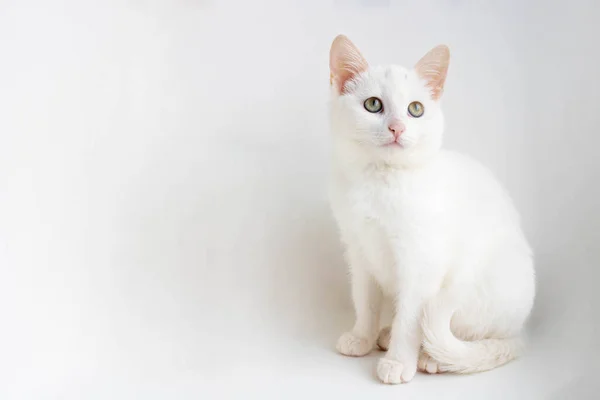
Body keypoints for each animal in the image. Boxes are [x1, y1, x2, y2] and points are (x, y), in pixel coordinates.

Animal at [330, 36, 536, 386]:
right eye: (373, 105)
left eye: (416, 109)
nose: (397, 128)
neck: (380, 181)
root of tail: (520, 333)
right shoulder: (358, 252)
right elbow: (365, 301)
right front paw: (362, 337)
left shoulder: (422, 262)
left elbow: (410, 319)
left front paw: (398, 361)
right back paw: (383, 336)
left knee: (470, 337)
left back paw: (430, 358)